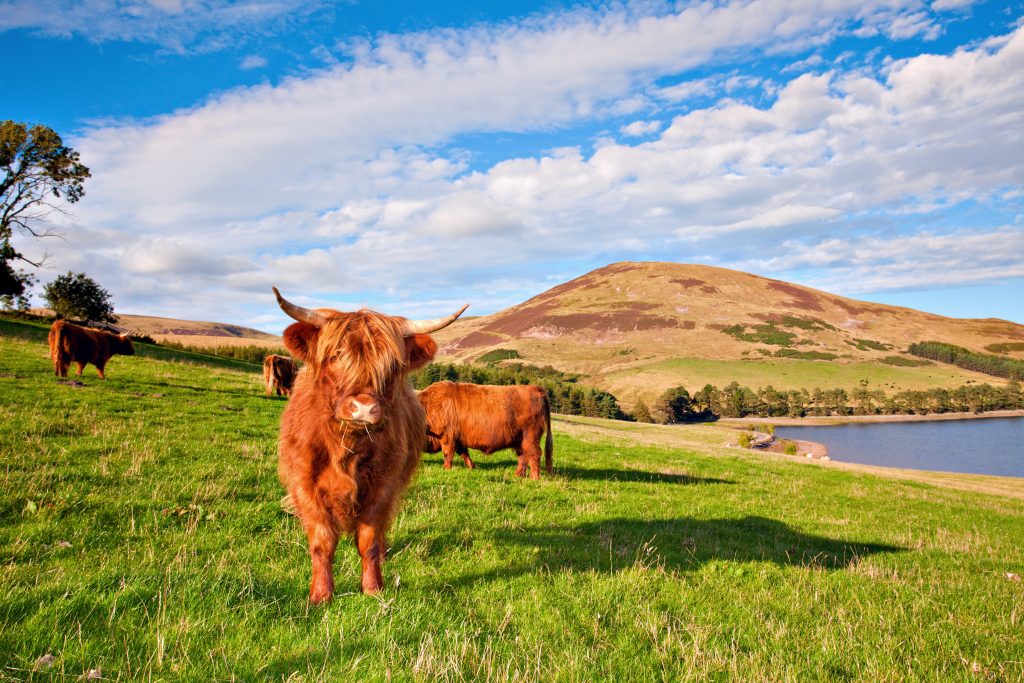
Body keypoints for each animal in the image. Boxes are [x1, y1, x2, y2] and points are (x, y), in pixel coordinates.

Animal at [270, 288, 466, 602]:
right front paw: (321, 595)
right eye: (335, 355)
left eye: (392, 365)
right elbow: (322, 541)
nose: (364, 408)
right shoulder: (305, 484)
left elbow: (369, 539)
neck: (346, 447)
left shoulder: (384, 486)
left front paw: (373, 589)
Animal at [419, 378, 557, 481]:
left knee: (534, 455)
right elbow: (464, 454)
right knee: (523, 456)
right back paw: (517, 475)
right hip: (520, 440)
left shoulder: (447, 436)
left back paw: (534, 478)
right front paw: (472, 467)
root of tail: (537, 389)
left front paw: (446, 469)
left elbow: (448, 454)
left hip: (531, 436)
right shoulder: (459, 439)